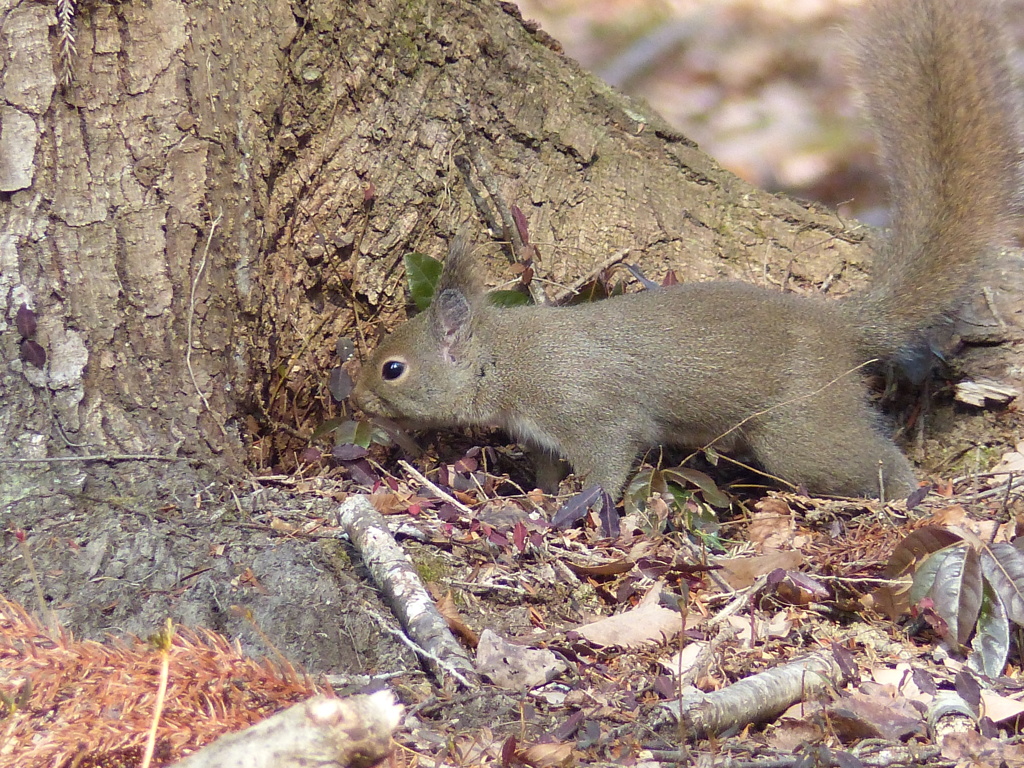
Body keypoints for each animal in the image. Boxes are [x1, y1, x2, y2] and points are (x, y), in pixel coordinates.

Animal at [348, 0, 1019, 501]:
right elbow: (547, 466)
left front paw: (577, 509)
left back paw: (911, 496)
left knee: (866, 461)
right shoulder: (543, 433)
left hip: (800, 426)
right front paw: (542, 497)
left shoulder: (588, 409)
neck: (508, 356)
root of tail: (840, 324)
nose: (353, 398)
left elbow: (608, 460)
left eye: (392, 368)